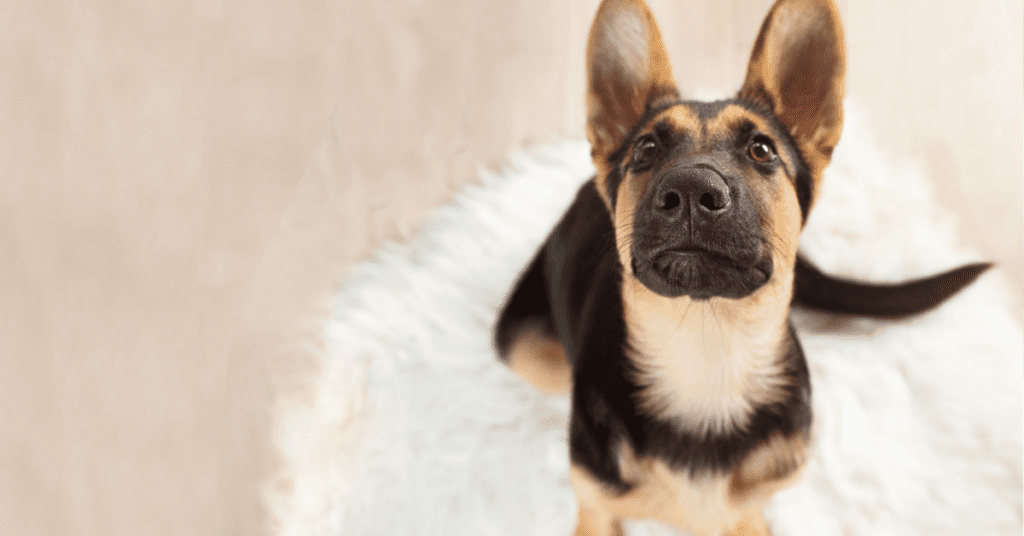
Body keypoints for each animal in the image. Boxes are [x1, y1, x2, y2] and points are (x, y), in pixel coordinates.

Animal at [491, 1, 987, 536]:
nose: (690, 191)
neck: (708, 351)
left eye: (762, 149)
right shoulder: (598, 509)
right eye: (646, 149)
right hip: (523, 349)